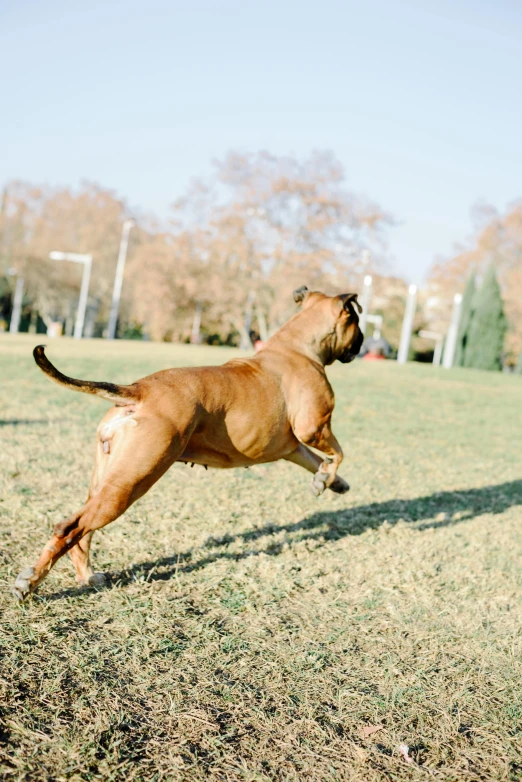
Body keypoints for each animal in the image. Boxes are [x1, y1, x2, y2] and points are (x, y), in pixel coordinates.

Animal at [12, 288, 362, 600]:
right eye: (358, 321)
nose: (362, 341)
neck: (297, 347)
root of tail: (139, 390)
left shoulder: (293, 447)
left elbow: (319, 461)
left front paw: (333, 483)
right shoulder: (313, 429)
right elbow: (339, 453)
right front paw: (328, 479)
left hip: (107, 479)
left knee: (82, 532)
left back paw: (87, 575)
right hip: (131, 482)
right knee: (70, 528)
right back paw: (30, 582)